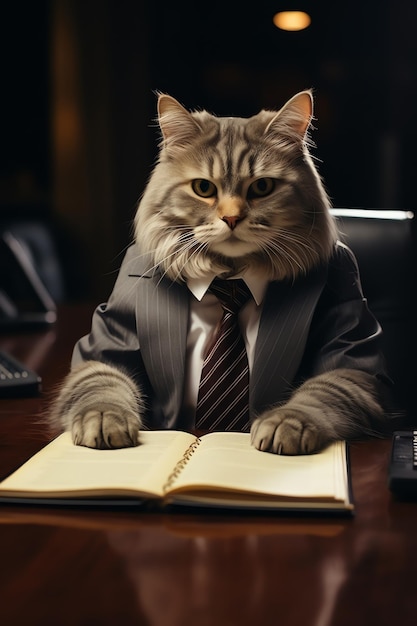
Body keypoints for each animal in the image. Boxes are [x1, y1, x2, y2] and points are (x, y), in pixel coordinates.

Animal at [49, 89, 390, 454]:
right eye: (203, 188)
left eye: (262, 187)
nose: (231, 218)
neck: (230, 279)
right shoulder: (104, 350)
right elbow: (102, 385)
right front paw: (103, 420)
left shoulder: (353, 369)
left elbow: (320, 393)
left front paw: (286, 424)